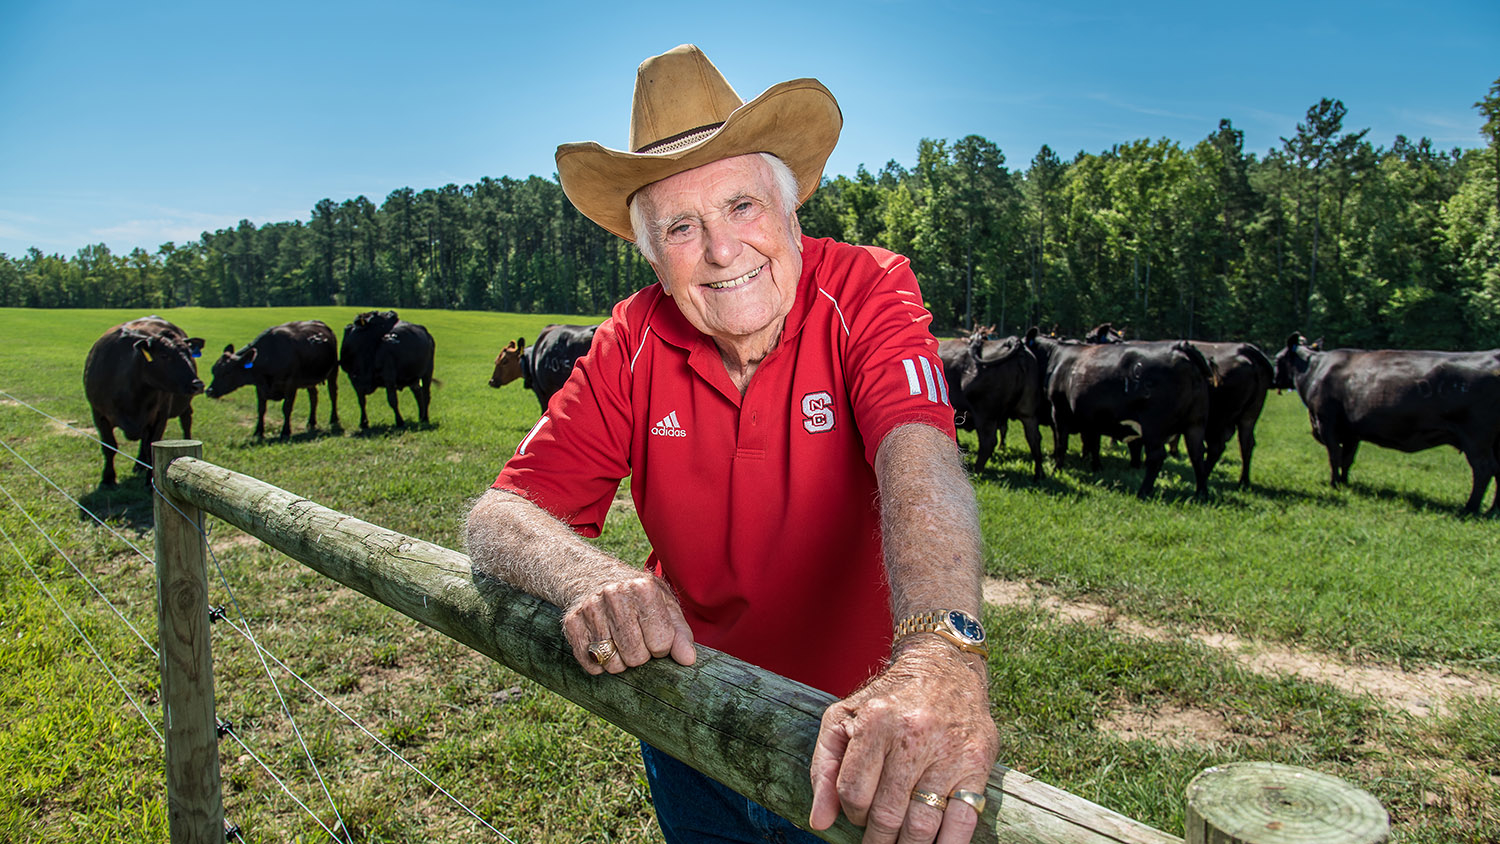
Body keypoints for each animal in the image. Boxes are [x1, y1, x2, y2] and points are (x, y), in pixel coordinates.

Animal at [83, 317, 207, 488]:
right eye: (164, 355)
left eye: (189, 354)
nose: (198, 385)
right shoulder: (99, 415)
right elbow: (109, 447)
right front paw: (108, 479)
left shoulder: (160, 415)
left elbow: (151, 448)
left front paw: (150, 480)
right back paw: (138, 464)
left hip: (183, 405)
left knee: (186, 421)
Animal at [207, 320, 342, 440]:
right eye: (213, 370)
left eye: (227, 372)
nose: (209, 391)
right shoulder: (260, 386)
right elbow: (261, 409)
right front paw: (258, 432)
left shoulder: (290, 385)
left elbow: (286, 408)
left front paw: (285, 432)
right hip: (309, 380)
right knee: (313, 397)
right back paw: (311, 422)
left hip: (333, 371)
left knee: (333, 394)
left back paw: (334, 419)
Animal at [1032, 334, 1218, 497]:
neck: (1057, 356)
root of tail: (1179, 347)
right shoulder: (1093, 420)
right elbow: (1094, 445)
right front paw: (1096, 467)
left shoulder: (1059, 412)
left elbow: (1061, 445)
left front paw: (1056, 470)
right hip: (1195, 424)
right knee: (1197, 454)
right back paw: (1201, 493)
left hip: (1154, 426)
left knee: (1157, 457)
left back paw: (1143, 492)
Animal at [1278, 334, 1500, 512]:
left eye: (1278, 358)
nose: (1274, 379)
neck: (1316, 369)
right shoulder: (1352, 431)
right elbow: (1347, 459)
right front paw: (1345, 482)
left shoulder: (1326, 422)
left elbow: (1334, 456)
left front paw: (1334, 484)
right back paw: (1493, 510)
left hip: (1476, 437)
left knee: (1484, 469)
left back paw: (1470, 508)